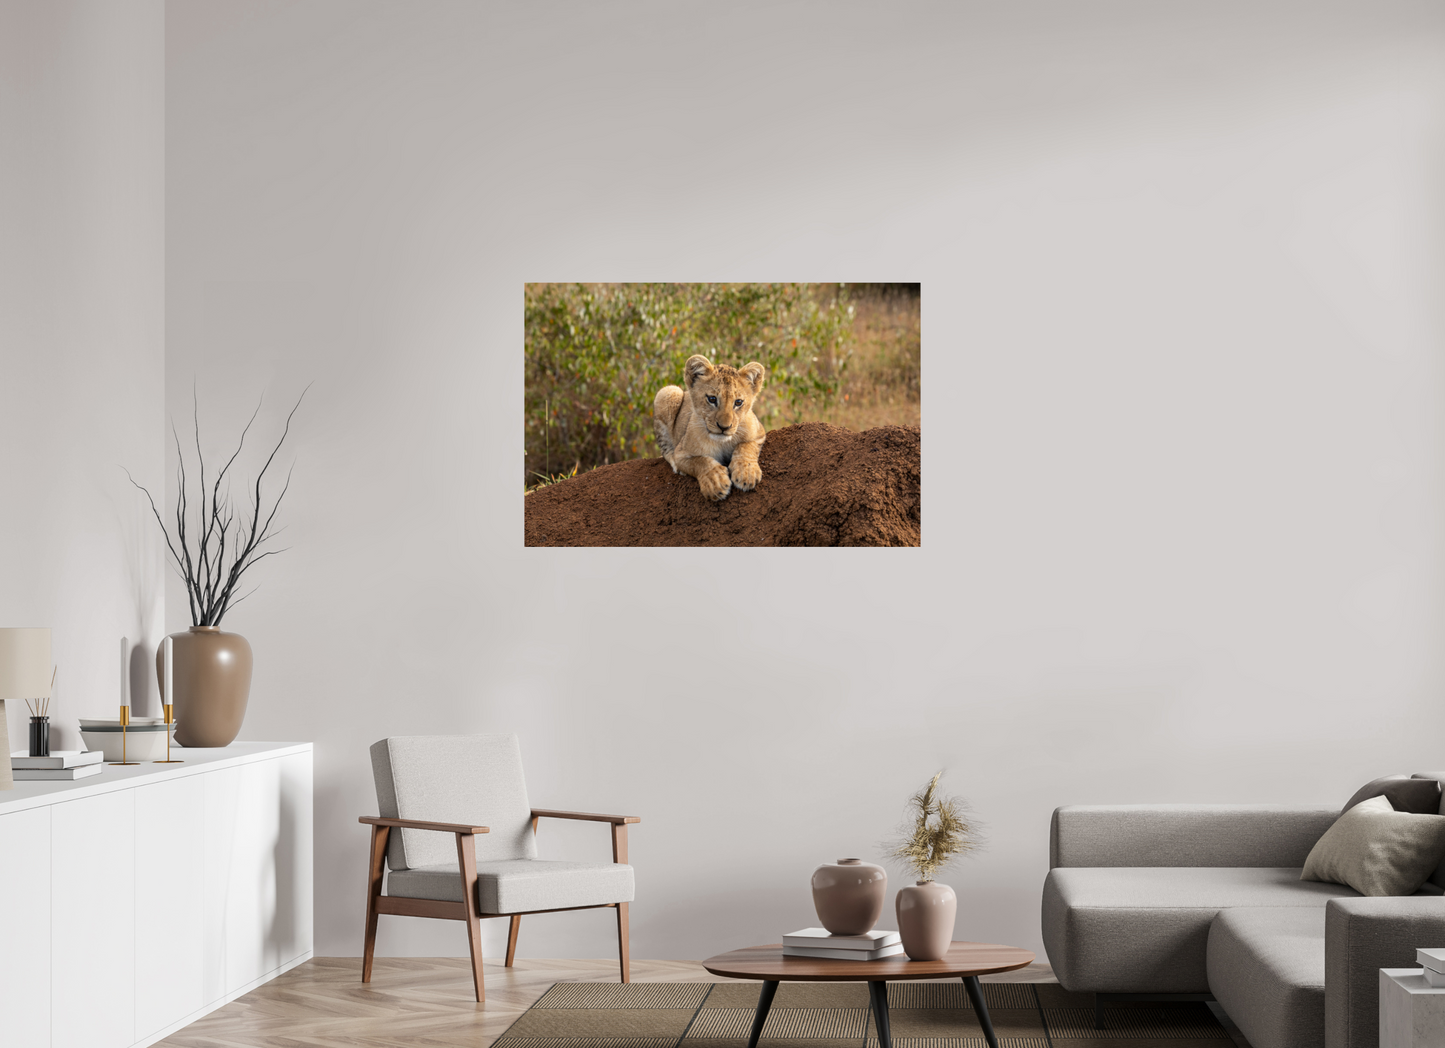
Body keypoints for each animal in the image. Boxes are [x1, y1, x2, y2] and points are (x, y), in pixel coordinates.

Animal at [653, 354, 767, 501]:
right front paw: (716, 481)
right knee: (665, 448)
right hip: (668, 392)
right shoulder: (681, 454)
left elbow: (746, 446)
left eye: (738, 402)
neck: (722, 442)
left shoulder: (759, 432)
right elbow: (700, 461)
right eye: (712, 399)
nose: (724, 427)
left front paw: (746, 473)